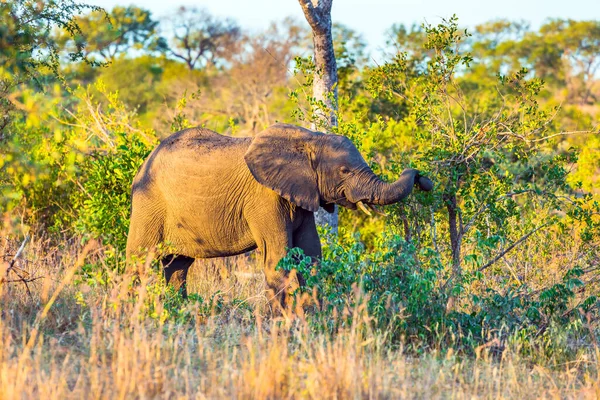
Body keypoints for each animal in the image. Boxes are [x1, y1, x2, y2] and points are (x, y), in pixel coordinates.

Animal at [126, 123, 432, 304]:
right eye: (344, 171)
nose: (421, 177)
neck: (309, 140)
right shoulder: (264, 198)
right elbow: (278, 259)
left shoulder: (302, 195)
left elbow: (311, 256)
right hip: (148, 203)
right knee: (139, 262)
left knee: (178, 267)